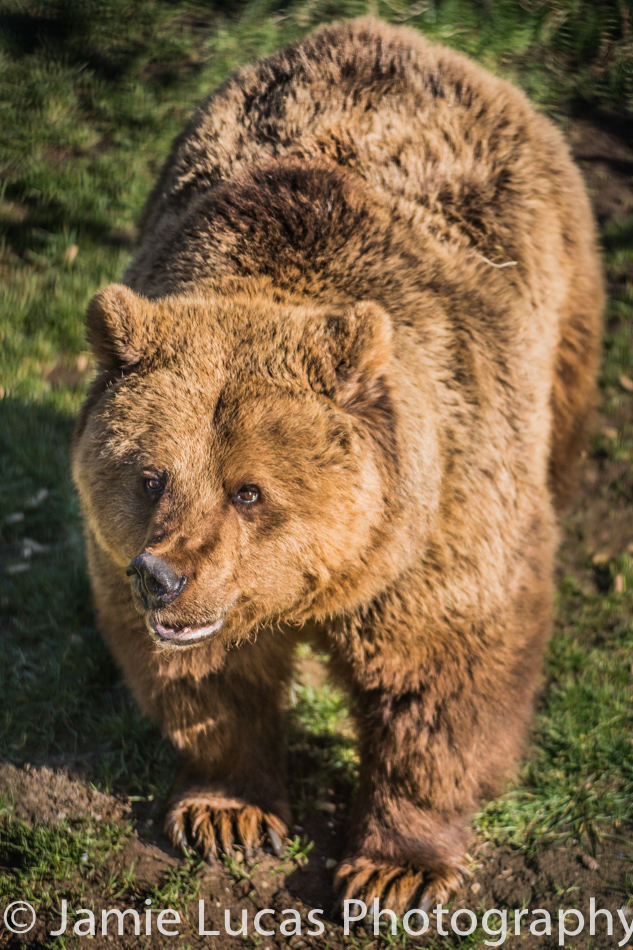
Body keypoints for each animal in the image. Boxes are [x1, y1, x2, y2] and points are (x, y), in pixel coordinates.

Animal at [71, 17, 603, 912]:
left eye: (249, 492)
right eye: (151, 477)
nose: (162, 576)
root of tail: (395, 33)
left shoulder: (438, 513)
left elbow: (440, 675)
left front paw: (395, 868)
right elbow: (210, 682)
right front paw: (227, 813)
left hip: (558, 295)